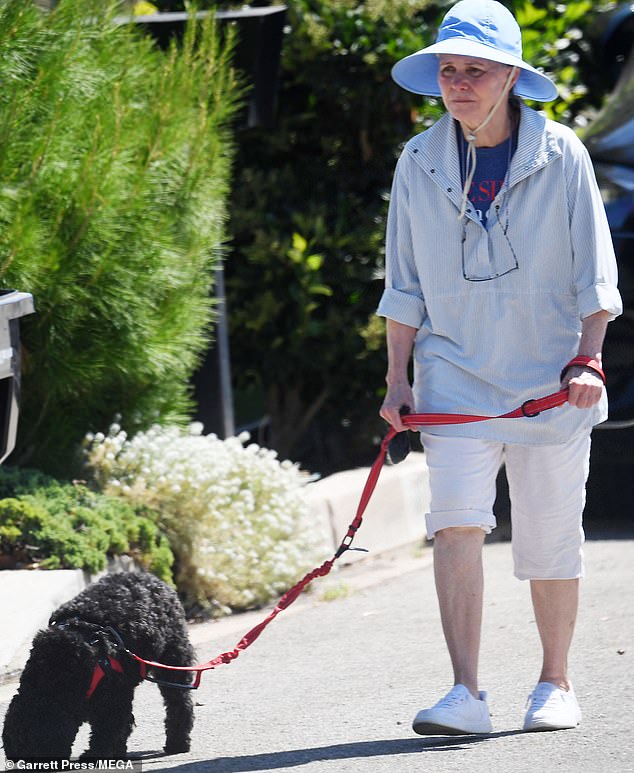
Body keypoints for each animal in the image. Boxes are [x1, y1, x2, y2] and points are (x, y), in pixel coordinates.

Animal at [2, 572, 194, 760]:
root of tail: (154, 578)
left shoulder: (113, 697)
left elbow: (107, 730)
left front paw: (95, 754)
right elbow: (119, 727)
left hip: (173, 658)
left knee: (179, 701)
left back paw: (178, 742)